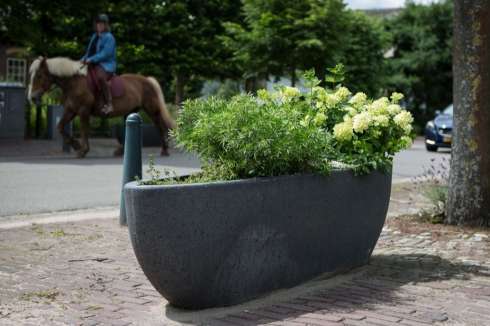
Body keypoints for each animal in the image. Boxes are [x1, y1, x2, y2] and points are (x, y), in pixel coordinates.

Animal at [27, 56, 175, 158]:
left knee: (160, 126)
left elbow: (84, 130)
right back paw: (121, 150)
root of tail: (147, 80)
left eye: (39, 75)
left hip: (152, 110)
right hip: (130, 112)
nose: (32, 97)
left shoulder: (83, 111)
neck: (74, 82)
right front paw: (76, 145)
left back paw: (164, 150)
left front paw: (82, 150)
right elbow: (60, 127)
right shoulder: (71, 110)